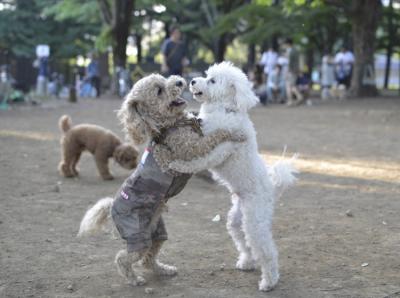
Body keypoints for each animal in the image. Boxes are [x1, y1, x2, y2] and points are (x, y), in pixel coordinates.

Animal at [168, 61, 296, 292]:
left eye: (212, 81)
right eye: (206, 75)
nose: (192, 81)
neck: (225, 109)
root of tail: (272, 189)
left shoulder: (219, 150)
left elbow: (198, 160)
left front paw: (179, 165)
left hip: (255, 221)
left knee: (267, 251)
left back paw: (269, 281)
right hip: (237, 218)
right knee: (243, 241)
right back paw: (246, 262)